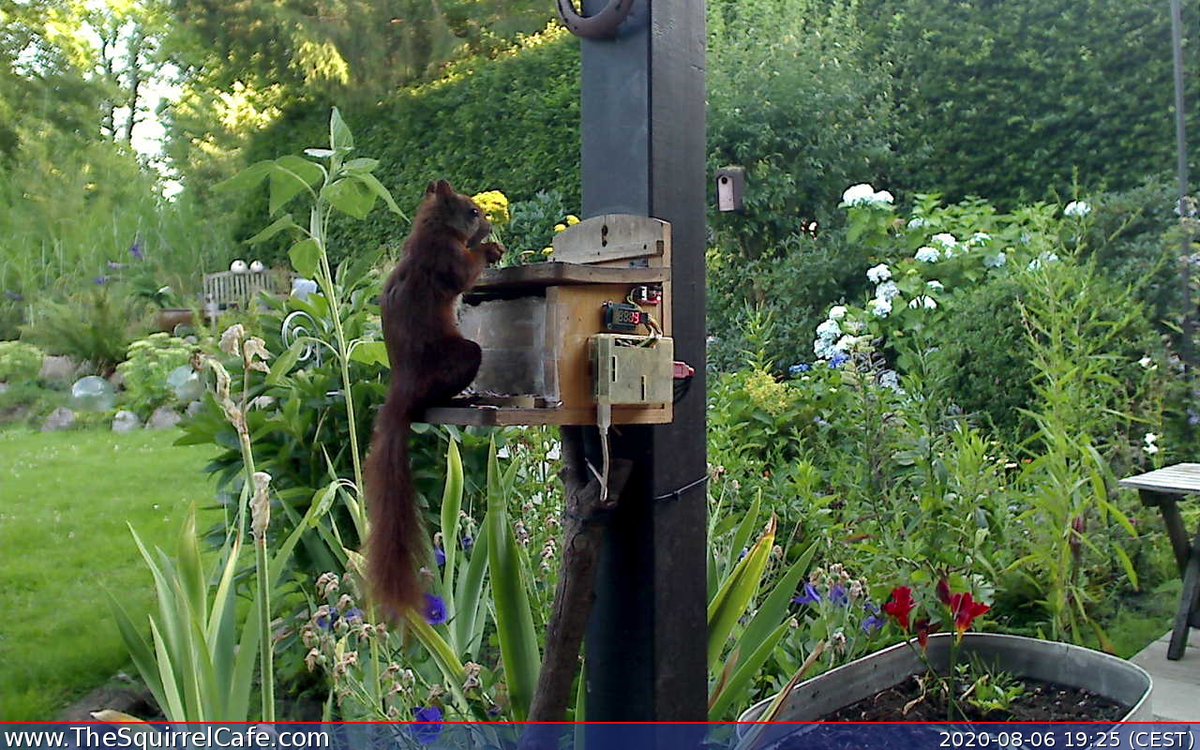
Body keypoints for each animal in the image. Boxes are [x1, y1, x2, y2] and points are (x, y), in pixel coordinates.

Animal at [365, 179, 504, 617]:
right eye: (473, 212)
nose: (490, 226)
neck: (433, 229)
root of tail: (402, 389)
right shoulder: (444, 257)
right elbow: (464, 275)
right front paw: (490, 252)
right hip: (462, 357)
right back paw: (464, 401)